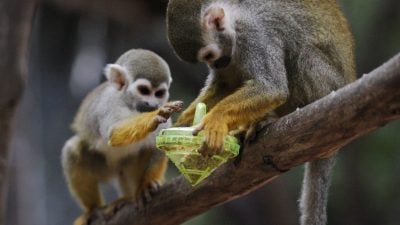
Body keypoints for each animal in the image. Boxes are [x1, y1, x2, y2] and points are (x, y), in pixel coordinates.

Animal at [61, 49, 183, 223]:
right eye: (144, 91)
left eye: (159, 94)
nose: (153, 105)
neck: (131, 106)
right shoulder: (109, 103)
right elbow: (113, 132)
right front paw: (154, 116)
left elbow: (160, 143)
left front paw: (146, 185)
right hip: (102, 168)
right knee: (71, 150)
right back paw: (93, 209)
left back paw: (130, 196)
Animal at [167, 0, 354, 225]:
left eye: (209, 56)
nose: (216, 64)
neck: (236, 19)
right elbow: (224, 85)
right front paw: (182, 124)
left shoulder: (254, 35)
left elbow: (271, 87)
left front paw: (216, 120)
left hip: (327, 88)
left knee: (301, 55)